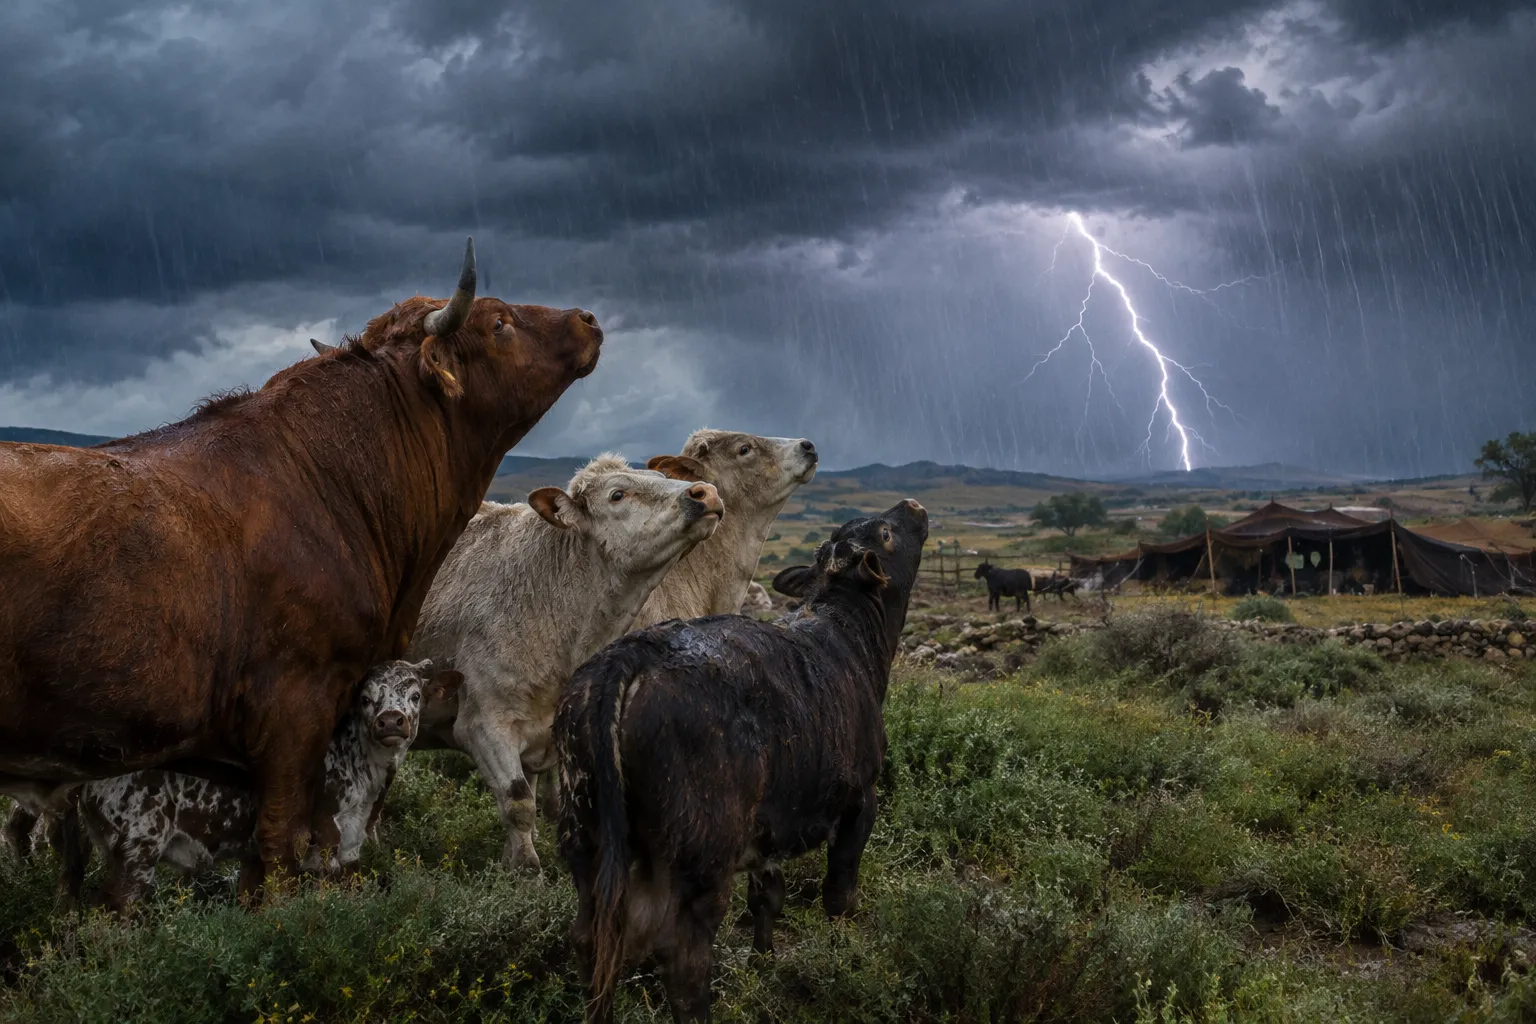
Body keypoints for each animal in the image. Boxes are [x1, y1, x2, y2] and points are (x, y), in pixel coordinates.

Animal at [406, 455, 723, 871]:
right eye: (617, 494)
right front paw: (527, 871)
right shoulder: (484, 724)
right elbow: (519, 803)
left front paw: (513, 863)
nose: (706, 492)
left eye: (659, 476)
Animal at [555, 499, 928, 1023]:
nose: (912, 505)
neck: (847, 633)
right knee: (683, 960)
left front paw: (763, 960)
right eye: (887, 534)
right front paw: (843, 959)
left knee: (591, 943)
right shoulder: (860, 799)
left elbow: (767, 897)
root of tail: (630, 655)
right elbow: (839, 893)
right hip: (701, 855)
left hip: (585, 837)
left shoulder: (770, 824)